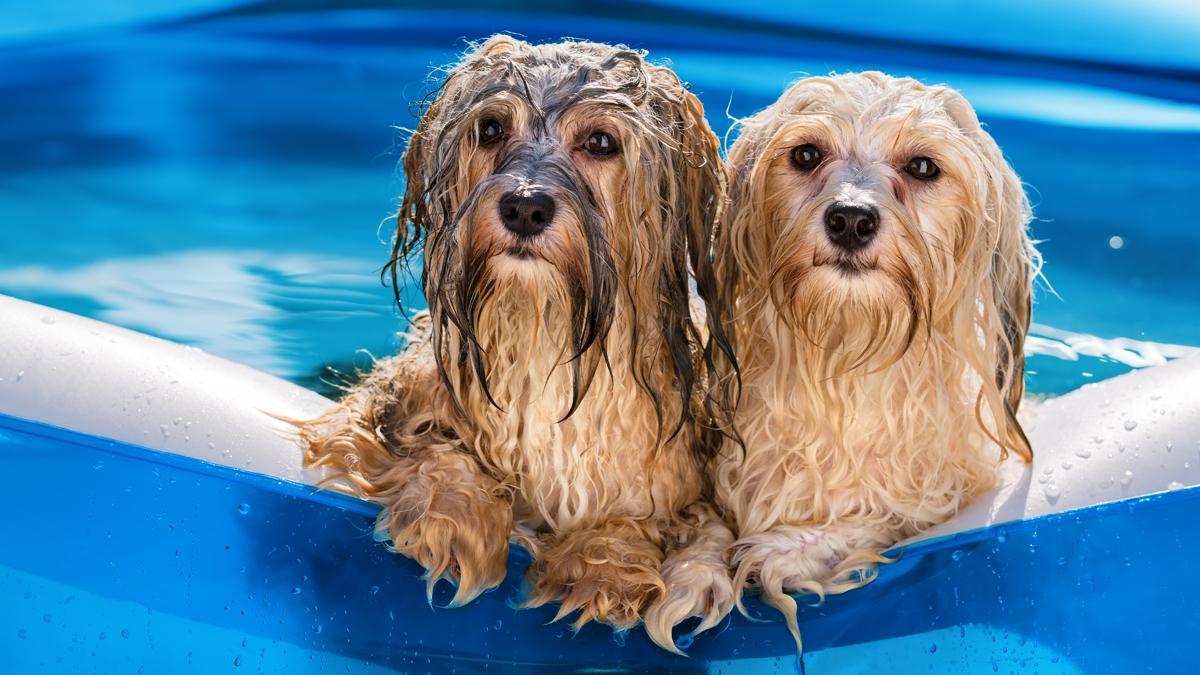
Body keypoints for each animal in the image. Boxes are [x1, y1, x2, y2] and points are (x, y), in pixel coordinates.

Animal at [295, 36, 734, 648]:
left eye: (601, 142)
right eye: (491, 128)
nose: (525, 205)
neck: (545, 332)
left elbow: (651, 519)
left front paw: (606, 563)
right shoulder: (375, 408)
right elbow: (433, 447)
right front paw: (456, 520)